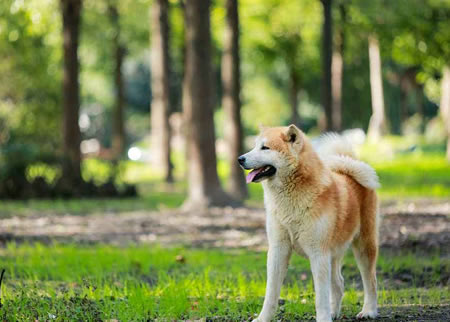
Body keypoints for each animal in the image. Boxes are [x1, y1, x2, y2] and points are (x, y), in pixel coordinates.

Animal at [239, 125, 380, 322]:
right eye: (254, 146)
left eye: (265, 148)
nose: (240, 159)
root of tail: (350, 167)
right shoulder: (278, 249)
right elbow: (271, 293)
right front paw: (263, 318)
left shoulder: (318, 253)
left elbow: (321, 296)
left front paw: (323, 318)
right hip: (333, 254)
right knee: (339, 283)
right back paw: (334, 312)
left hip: (363, 246)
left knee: (371, 281)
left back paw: (369, 311)